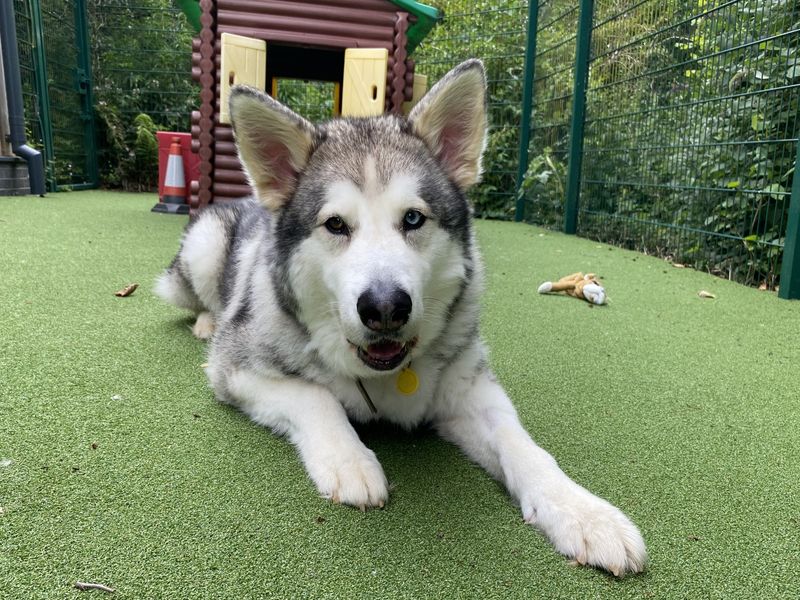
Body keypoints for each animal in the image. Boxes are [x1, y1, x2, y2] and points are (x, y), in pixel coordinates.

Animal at [158, 61, 648, 576]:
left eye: (413, 219)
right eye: (336, 225)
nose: (385, 307)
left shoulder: (468, 390)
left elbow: (522, 445)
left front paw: (584, 513)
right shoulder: (234, 369)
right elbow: (316, 397)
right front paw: (350, 461)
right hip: (205, 248)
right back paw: (206, 322)